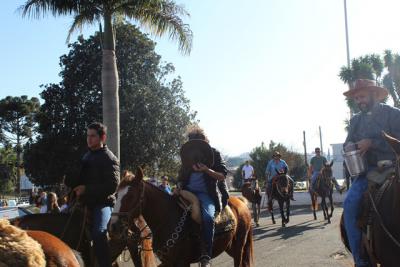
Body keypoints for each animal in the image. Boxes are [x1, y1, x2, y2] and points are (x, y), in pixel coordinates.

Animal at [109, 169, 253, 266]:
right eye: (116, 195)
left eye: (131, 196)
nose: (113, 227)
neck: (168, 218)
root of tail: (240, 201)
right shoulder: (168, 262)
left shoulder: (182, 262)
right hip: (229, 246)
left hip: (239, 247)